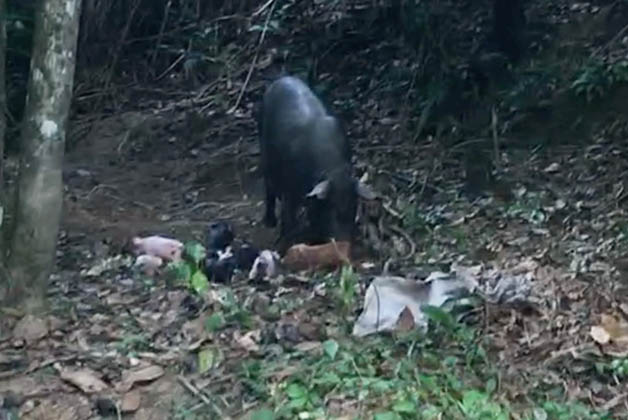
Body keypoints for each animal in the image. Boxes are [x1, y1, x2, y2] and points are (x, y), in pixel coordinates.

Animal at [258, 76, 376, 249]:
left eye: (353, 207)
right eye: (332, 207)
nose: (344, 243)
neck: (333, 170)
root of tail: (282, 78)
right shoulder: (291, 187)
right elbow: (289, 216)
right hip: (264, 148)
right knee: (268, 185)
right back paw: (270, 222)